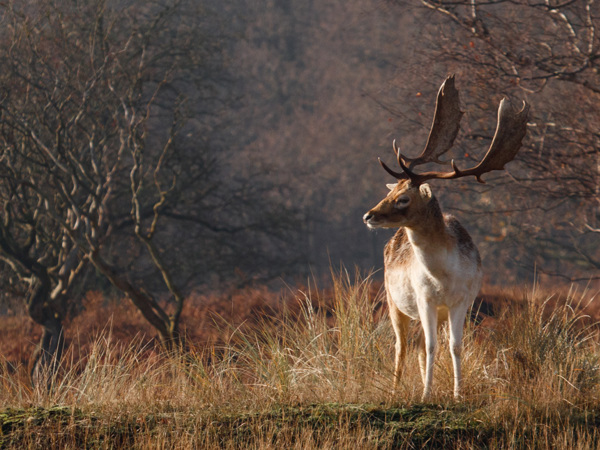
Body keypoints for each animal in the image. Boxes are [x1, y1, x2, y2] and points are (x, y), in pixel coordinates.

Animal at [364, 76, 528, 400]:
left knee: (416, 345)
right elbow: (430, 347)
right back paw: (395, 390)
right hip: (392, 298)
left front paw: (457, 394)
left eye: (403, 198)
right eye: (391, 191)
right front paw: (426, 394)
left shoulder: (462, 301)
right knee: (402, 345)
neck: (443, 276)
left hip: (430, 310)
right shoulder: (424, 297)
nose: (368, 215)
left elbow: (454, 346)